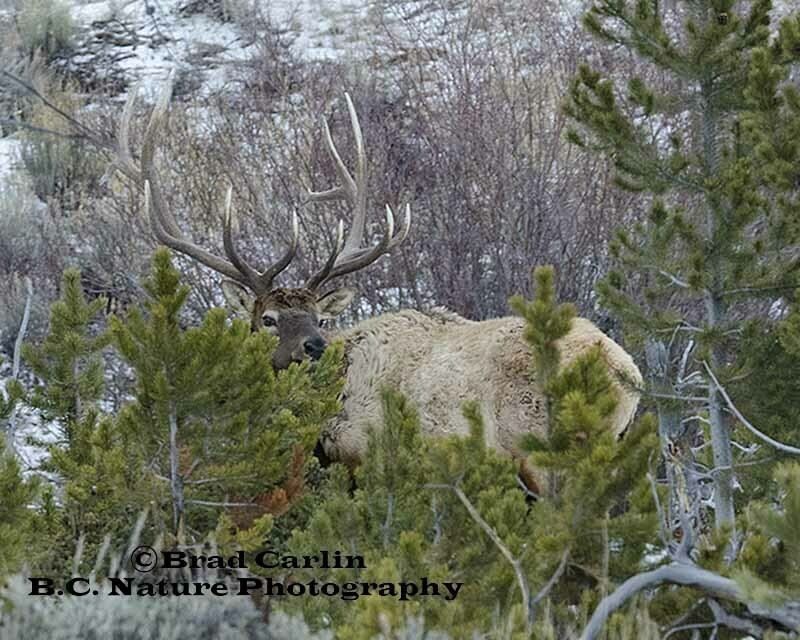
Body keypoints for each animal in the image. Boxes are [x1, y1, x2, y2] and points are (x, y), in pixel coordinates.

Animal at [114, 75, 643, 493]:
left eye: (319, 316)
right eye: (267, 318)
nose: (314, 346)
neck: (325, 413)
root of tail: (627, 374)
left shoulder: (363, 458)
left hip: (543, 451)